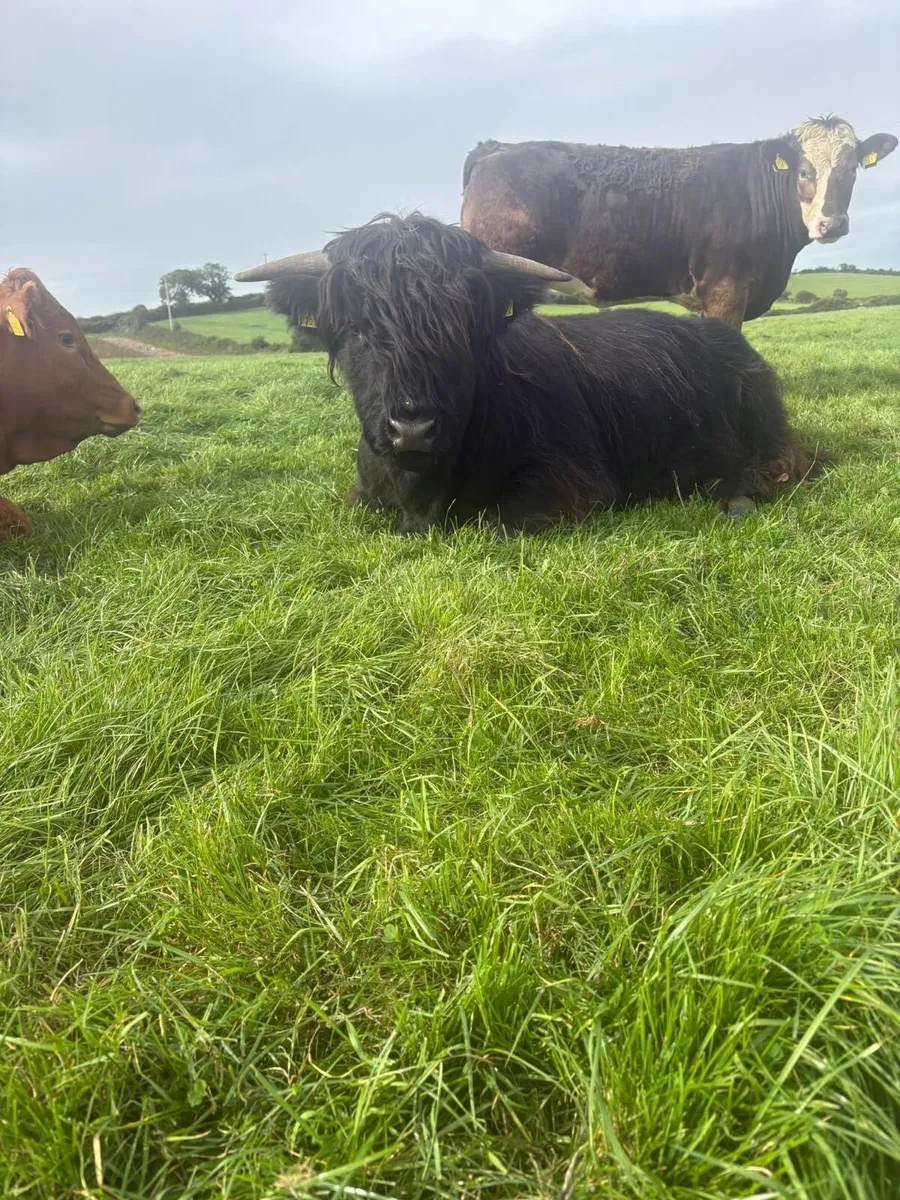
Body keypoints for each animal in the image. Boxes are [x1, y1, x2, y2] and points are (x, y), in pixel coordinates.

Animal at [235, 214, 823, 536]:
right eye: (357, 329)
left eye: (461, 329)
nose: (412, 429)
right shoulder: (364, 491)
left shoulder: (572, 483)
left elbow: (498, 523)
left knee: (783, 464)